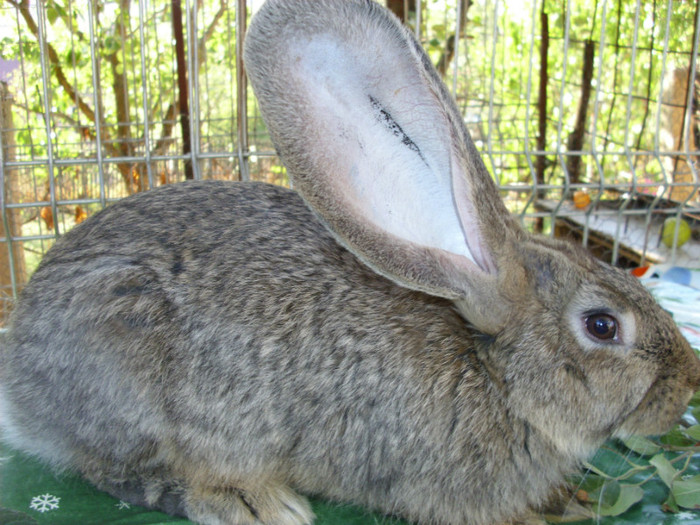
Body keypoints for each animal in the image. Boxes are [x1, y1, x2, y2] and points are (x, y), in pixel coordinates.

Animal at [1, 1, 700, 524]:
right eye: (602, 326)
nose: (686, 387)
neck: (495, 371)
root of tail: (21, 385)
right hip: (125, 360)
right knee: (116, 470)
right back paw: (249, 500)